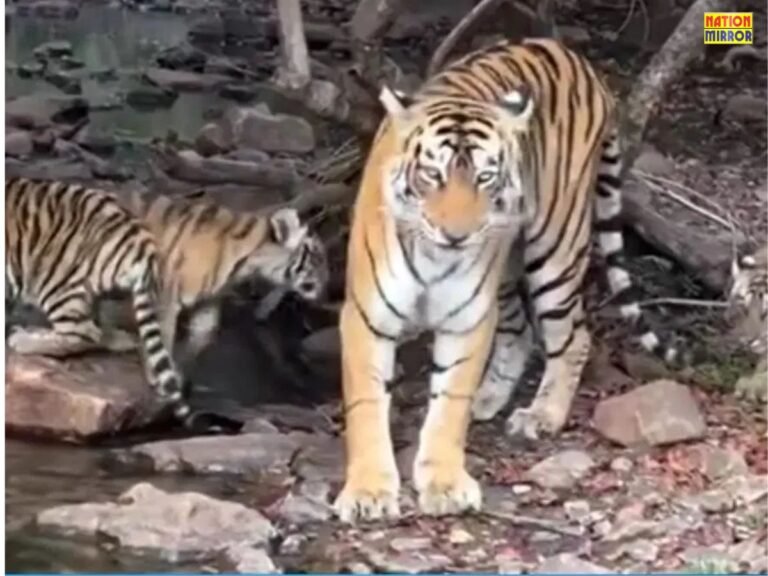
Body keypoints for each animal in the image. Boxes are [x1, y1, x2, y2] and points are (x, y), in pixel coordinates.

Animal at [333, 37, 678, 523]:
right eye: (433, 174)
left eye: (484, 177)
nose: (457, 235)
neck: (434, 257)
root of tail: (577, 59)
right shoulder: (367, 318)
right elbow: (366, 406)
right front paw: (368, 493)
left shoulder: (467, 319)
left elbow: (449, 404)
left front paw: (444, 484)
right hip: (507, 270)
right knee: (521, 331)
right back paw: (491, 398)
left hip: (555, 248)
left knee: (573, 337)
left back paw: (542, 414)